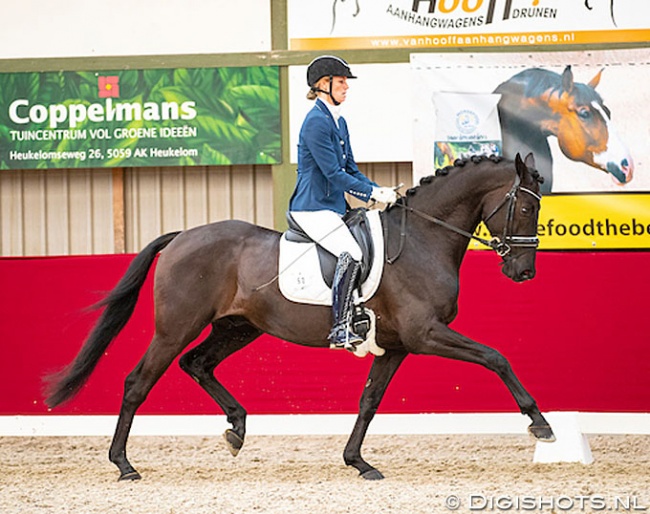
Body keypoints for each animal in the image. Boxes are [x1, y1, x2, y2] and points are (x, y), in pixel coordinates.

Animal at [45, 152, 552, 480]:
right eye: (528, 206)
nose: (524, 272)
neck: (423, 239)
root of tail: (181, 236)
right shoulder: (426, 333)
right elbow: (495, 357)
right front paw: (540, 424)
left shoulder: (396, 345)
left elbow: (370, 401)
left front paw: (358, 462)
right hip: (175, 329)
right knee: (138, 382)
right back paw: (124, 464)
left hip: (238, 328)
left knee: (197, 364)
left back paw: (237, 428)